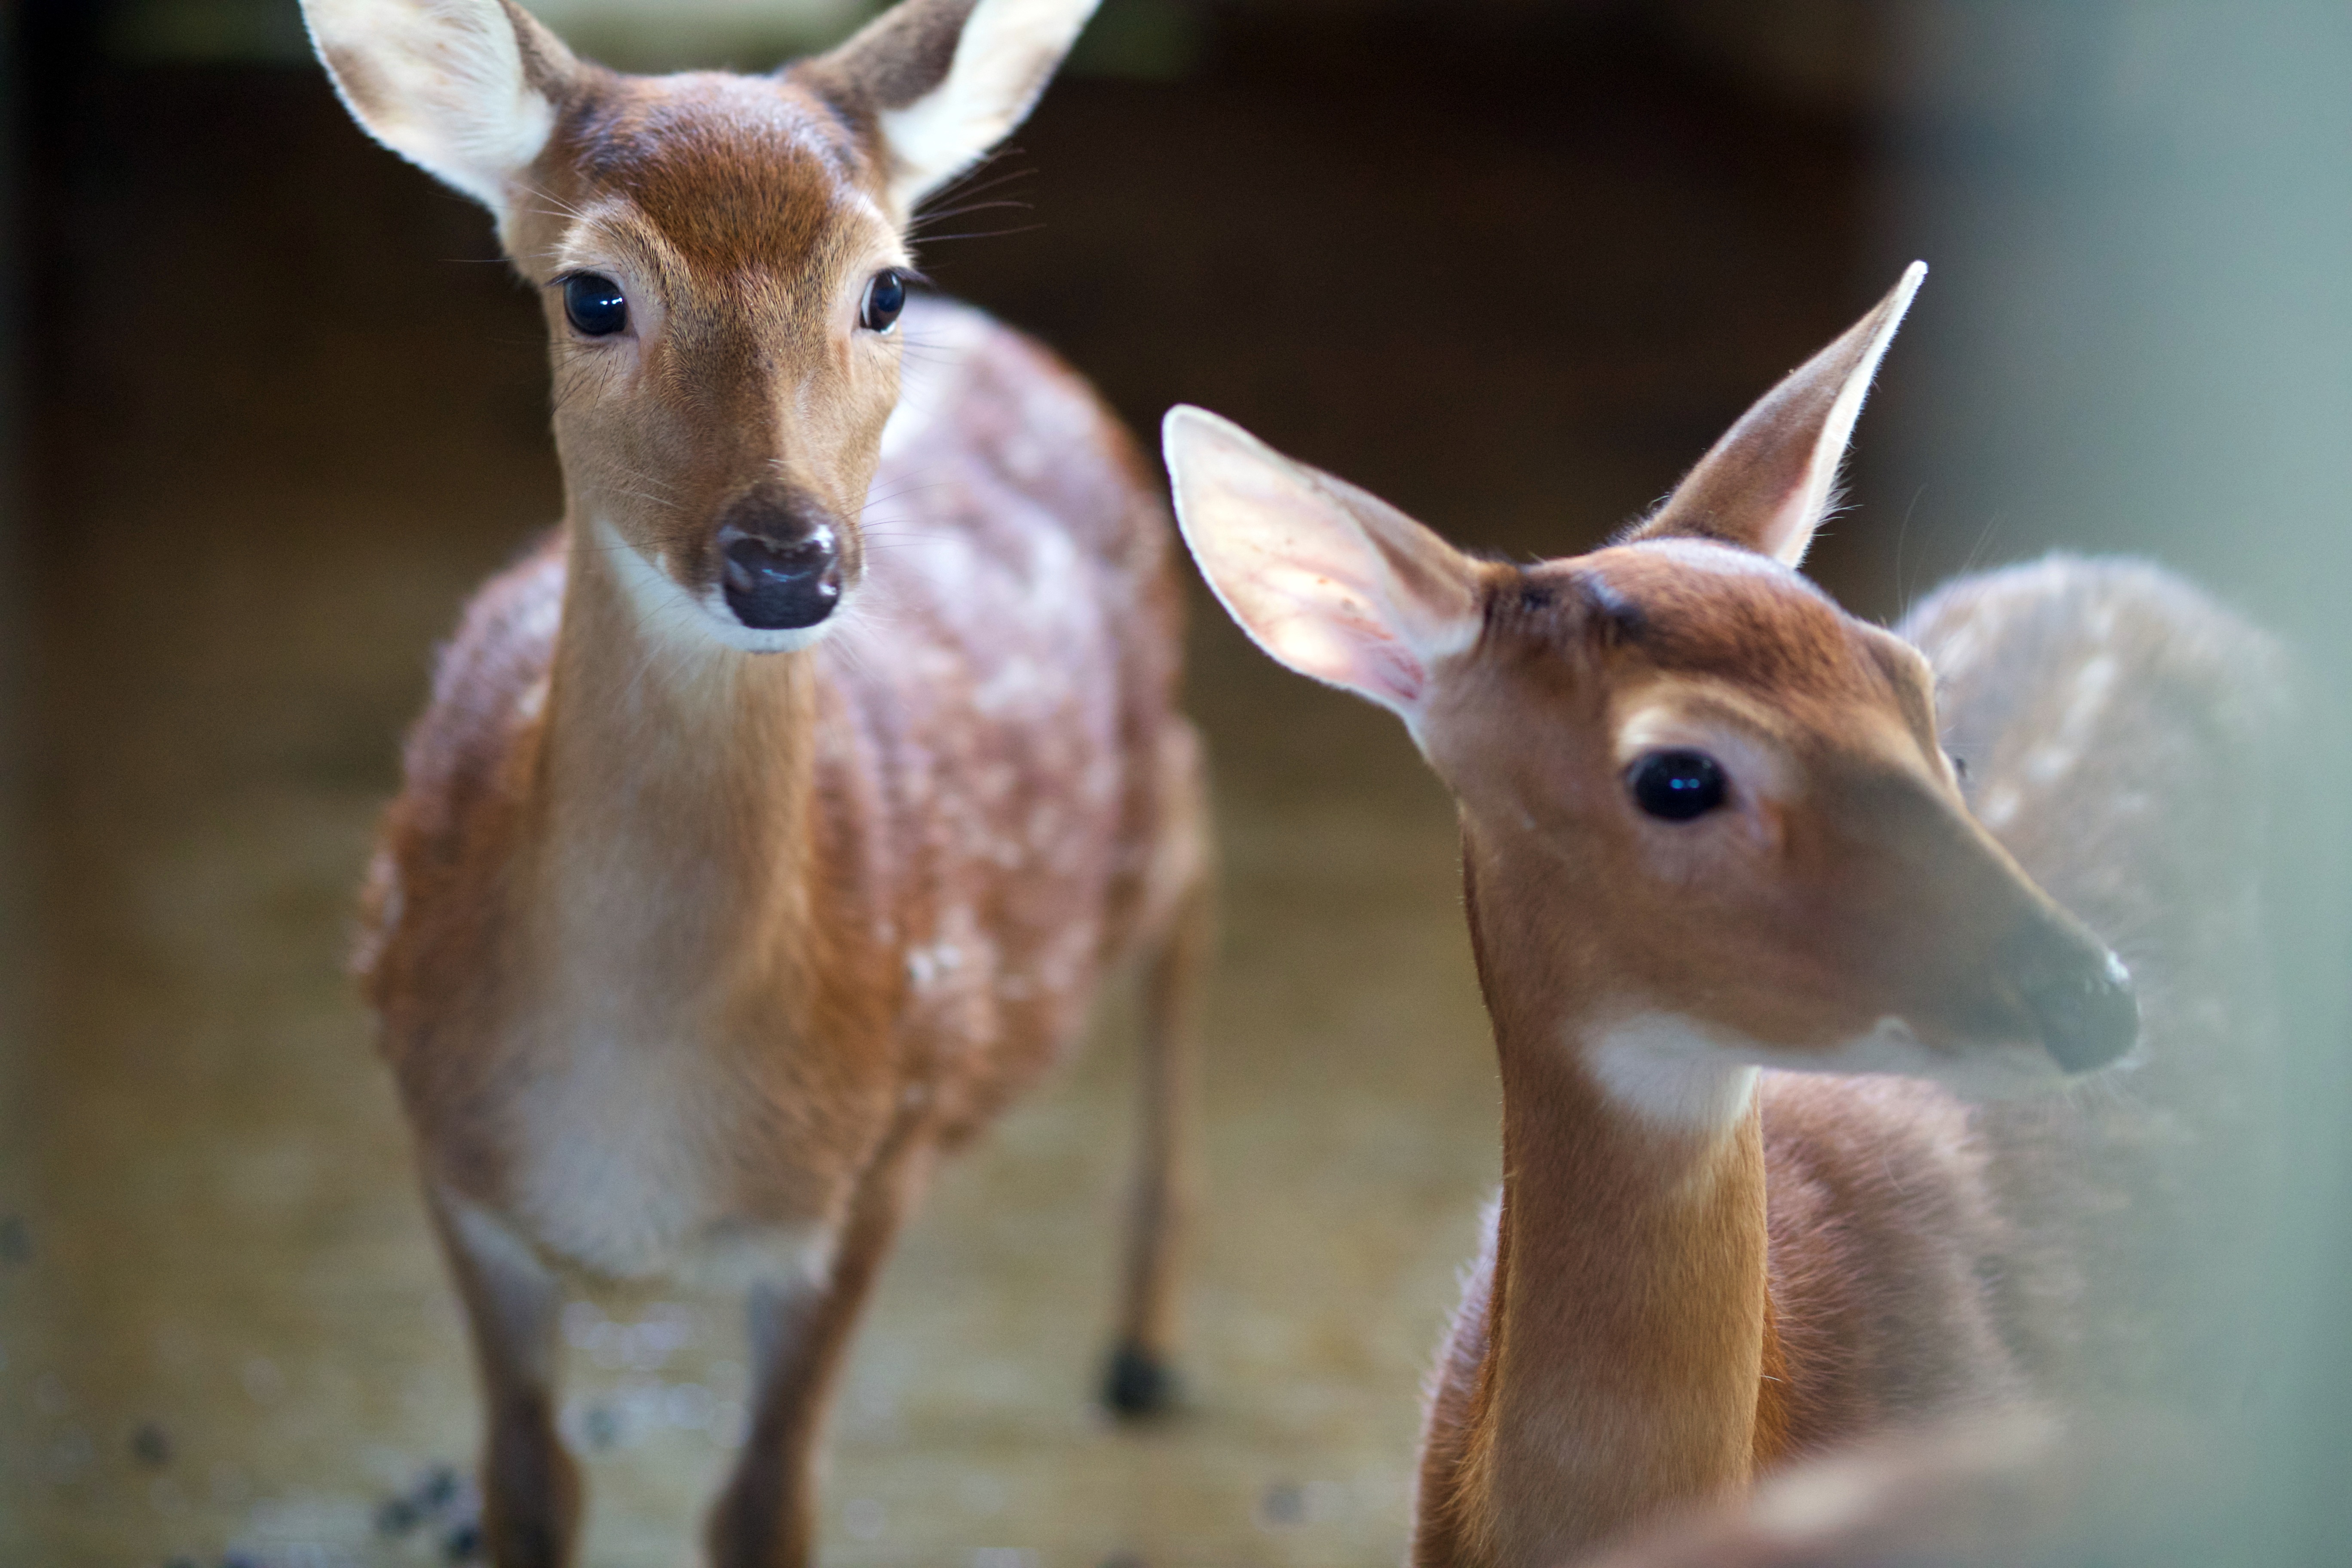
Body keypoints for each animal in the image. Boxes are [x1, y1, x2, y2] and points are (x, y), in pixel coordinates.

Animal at [301, 3, 1204, 1568]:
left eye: (883, 286)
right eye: (593, 295)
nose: (788, 560)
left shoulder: (875, 1152)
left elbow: (766, 1504)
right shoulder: (446, 1151)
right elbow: (526, 1484)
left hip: (1148, 765)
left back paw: (1146, 1351)